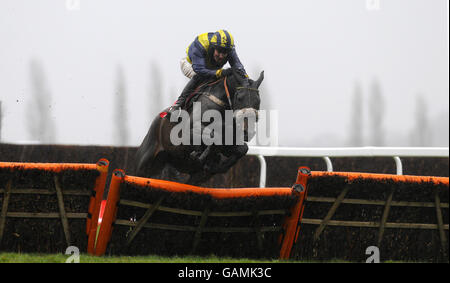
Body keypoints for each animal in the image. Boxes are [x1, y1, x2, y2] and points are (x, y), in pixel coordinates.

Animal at [136, 69, 264, 185]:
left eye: (258, 100)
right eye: (239, 98)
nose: (247, 132)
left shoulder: (228, 143)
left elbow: (242, 149)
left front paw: (215, 165)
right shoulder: (191, 131)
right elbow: (212, 137)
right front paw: (201, 156)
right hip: (145, 164)